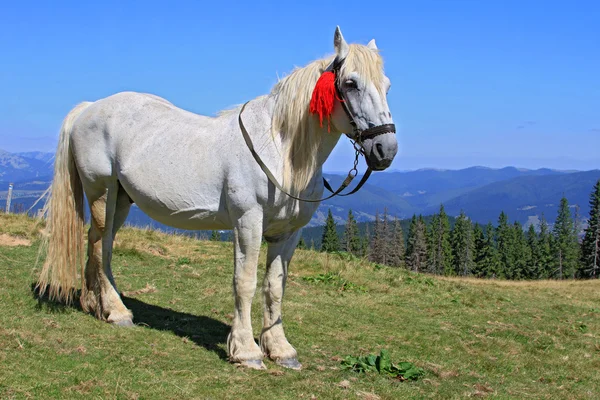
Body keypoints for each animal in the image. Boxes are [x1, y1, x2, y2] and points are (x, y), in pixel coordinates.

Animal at [37, 28, 398, 370]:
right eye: (350, 83)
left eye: (387, 86)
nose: (386, 149)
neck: (279, 148)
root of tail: (89, 108)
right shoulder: (248, 222)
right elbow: (245, 282)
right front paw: (246, 352)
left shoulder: (288, 233)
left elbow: (275, 287)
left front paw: (281, 350)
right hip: (102, 192)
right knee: (101, 245)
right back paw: (116, 311)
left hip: (122, 199)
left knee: (100, 242)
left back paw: (93, 304)